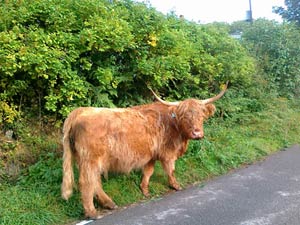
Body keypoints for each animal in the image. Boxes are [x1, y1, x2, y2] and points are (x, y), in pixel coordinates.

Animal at [62, 83, 229, 218]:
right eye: (184, 116)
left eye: (201, 115)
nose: (197, 133)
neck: (175, 127)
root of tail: (79, 111)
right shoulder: (168, 153)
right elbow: (171, 170)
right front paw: (175, 185)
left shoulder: (151, 155)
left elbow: (148, 171)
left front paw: (145, 190)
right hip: (91, 159)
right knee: (86, 182)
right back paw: (92, 212)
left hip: (89, 160)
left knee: (95, 181)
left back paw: (109, 203)